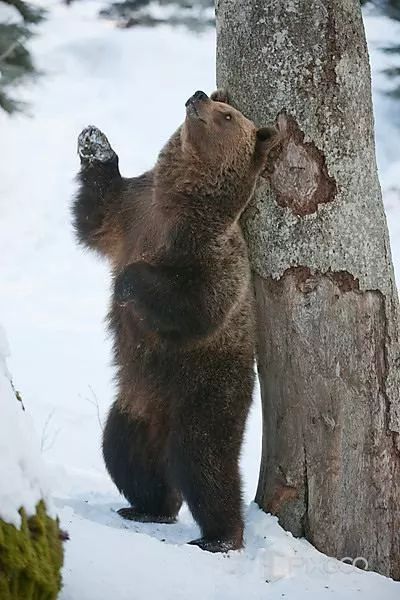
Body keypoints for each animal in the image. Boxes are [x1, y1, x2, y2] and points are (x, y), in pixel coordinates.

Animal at [72, 90, 278, 552]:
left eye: (227, 116)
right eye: (219, 103)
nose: (198, 96)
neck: (177, 202)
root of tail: (161, 421)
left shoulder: (209, 253)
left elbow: (196, 305)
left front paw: (127, 285)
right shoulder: (133, 212)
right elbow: (94, 215)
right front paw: (95, 142)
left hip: (205, 391)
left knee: (204, 461)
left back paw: (220, 536)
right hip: (134, 406)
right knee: (123, 452)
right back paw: (148, 507)